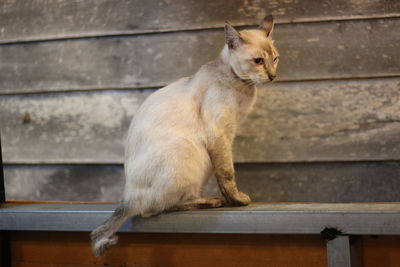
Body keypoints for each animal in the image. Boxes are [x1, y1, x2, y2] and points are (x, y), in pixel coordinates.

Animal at [90, 15, 278, 258]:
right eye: (258, 61)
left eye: (275, 59)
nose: (273, 76)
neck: (242, 85)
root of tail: (127, 196)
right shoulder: (220, 134)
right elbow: (227, 173)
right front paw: (237, 200)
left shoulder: (230, 133)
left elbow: (226, 173)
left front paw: (233, 200)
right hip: (187, 151)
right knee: (157, 209)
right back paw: (212, 201)